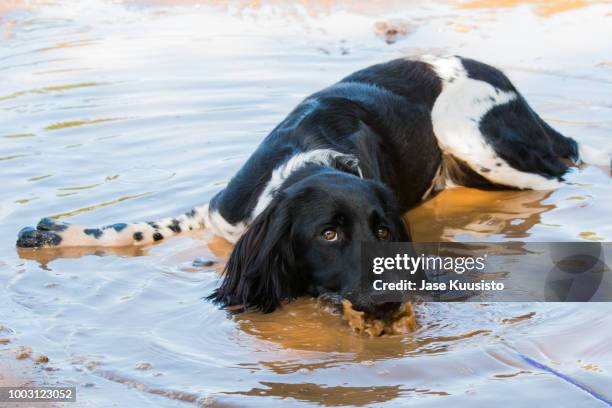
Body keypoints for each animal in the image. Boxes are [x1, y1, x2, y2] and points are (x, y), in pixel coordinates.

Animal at [16, 55, 608, 314]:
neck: (311, 157)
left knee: (561, 167)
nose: (388, 301)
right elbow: (140, 229)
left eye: (385, 233)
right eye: (329, 234)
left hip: (475, 139)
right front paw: (60, 235)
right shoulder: (221, 212)